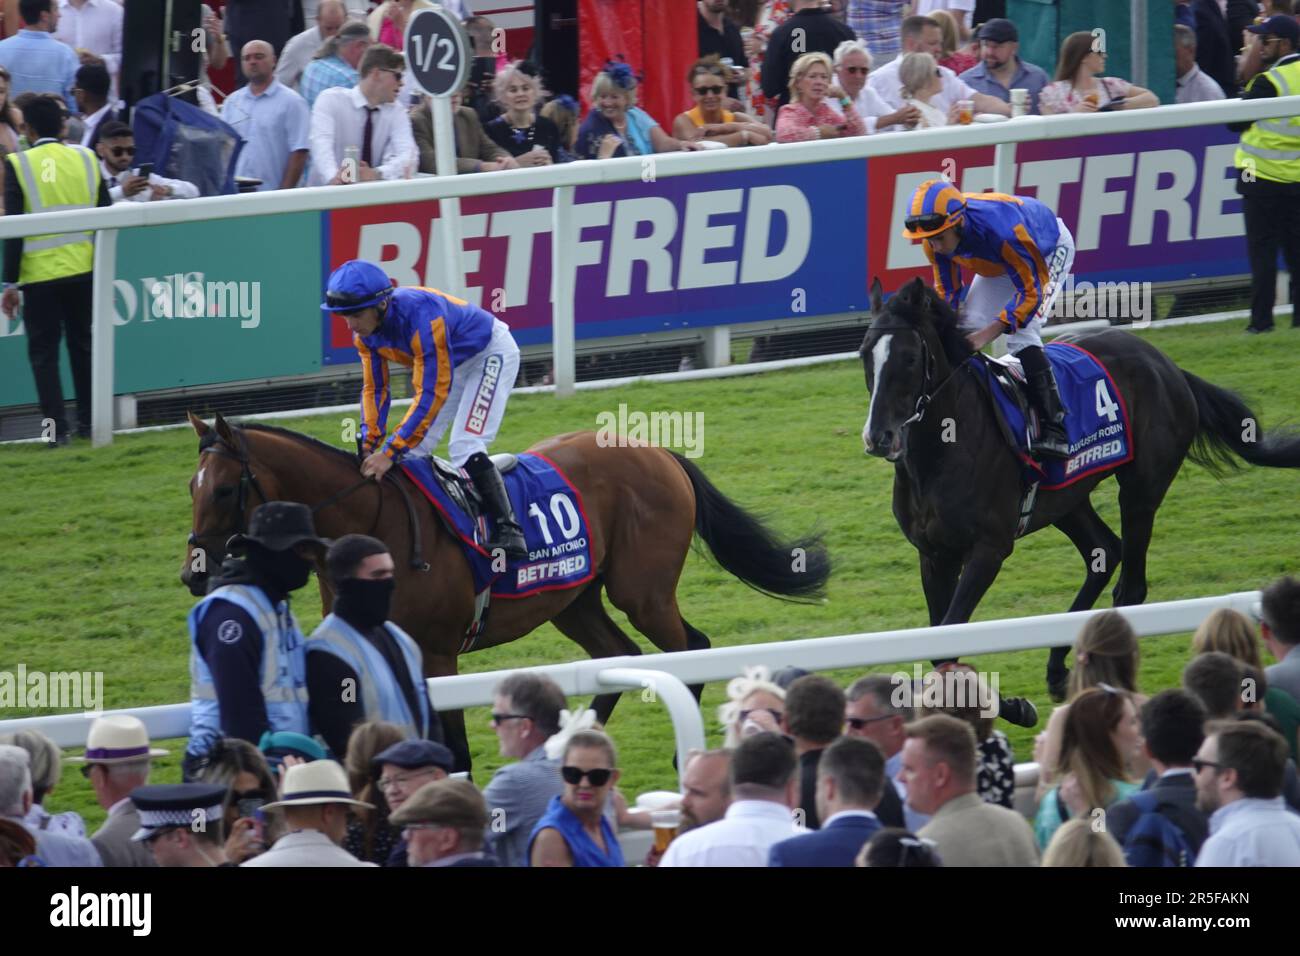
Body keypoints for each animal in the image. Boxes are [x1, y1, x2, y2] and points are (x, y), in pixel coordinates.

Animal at [180, 411, 832, 770]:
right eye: (191, 486)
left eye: (223, 490)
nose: (194, 572)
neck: (372, 526)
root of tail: (657, 451)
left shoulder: (437, 656)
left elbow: (452, 750)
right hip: (573, 600)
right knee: (617, 657)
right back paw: (569, 743)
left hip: (641, 591)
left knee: (689, 648)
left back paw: (680, 755)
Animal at [863, 280, 1300, 697]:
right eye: (867, 355)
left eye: (910, 358)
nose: (879, 437)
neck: (944, 449)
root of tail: (1167, 365)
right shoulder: (934, 554)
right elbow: (939, 640)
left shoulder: (989, 549)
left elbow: (948, 642)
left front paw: (1010, 707)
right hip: (1066, 498)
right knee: (1104, 550)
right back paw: (1059, 667)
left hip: (1141, 490)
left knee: (1131, 585)